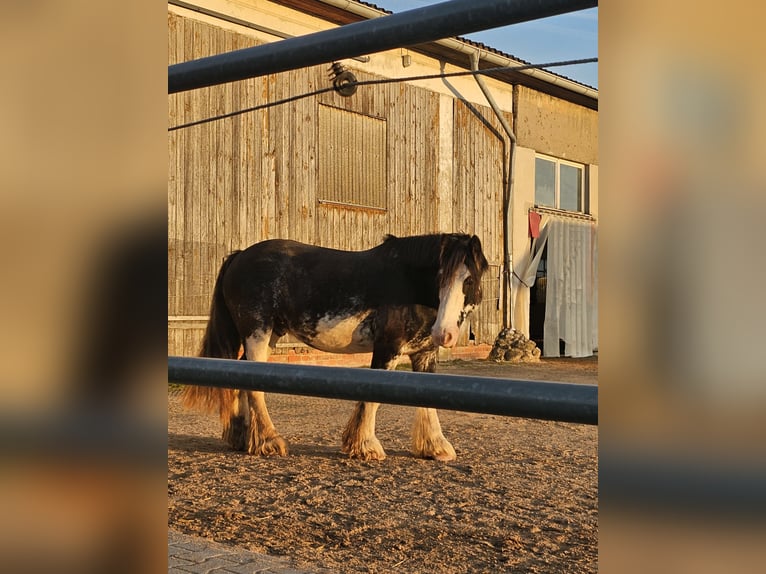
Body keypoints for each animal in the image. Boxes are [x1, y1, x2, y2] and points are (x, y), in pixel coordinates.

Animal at [183, 234, 488, 464]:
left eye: (469, 280)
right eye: (440, 278)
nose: (444, 334)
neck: (408, 284)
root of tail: (239, 256)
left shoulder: (423, 353)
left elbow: (427, 400)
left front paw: (435, 447)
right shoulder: (387, 348)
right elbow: (373, 399)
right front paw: (366, 447)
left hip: (267, 336)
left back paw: (243, 436)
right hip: (258, 333)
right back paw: (269, 441)